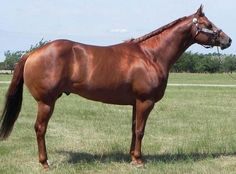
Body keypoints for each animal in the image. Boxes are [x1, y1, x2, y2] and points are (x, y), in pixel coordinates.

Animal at [0, 5, 231, 169]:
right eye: (208, 24)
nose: (227, 40)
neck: (150, 55)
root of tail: (33, 53)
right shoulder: (145, 101)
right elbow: (140, 130)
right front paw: (139, 161)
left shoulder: (136, 103)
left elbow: (133, 129)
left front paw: (132, 157)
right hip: (46, 102)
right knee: (40, 129)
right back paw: (45, 163)